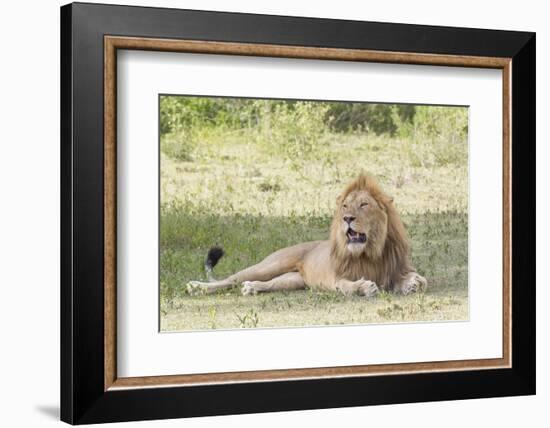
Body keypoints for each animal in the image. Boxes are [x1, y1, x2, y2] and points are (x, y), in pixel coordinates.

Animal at [188, 171, 430, 298]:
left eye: (363, 205)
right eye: (345, 206)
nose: (347, 218)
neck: (369, 252)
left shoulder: (396, 268)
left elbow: (418, 279)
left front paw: (413, 283)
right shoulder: (335, 277)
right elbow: (346, 286)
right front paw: (364, 286)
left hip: (293, 280)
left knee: (268, 284)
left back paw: (252, 287)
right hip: (270, 265)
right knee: (229, 279)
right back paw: (196, 287)